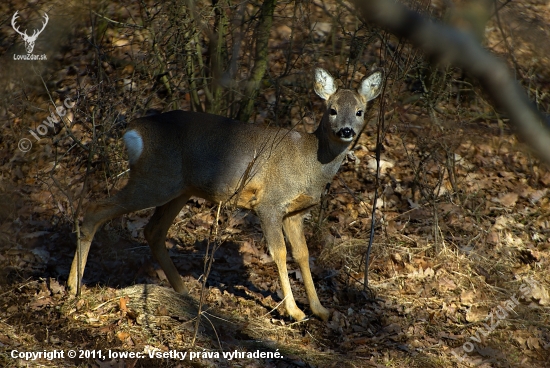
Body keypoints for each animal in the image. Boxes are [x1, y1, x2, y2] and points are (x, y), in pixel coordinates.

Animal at [68, 67, 384, 320]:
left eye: (360, 111)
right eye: (332, 109)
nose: (346, 130)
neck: (310, 162)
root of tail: (133, 131)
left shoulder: (295, 213)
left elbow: (304, 255)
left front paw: (320, 310)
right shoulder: (269, 203)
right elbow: (280, 252)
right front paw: (294, 312)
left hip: (179, 189)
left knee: (153, 231)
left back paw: (185, 294)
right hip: (154, 180)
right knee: (95, 210)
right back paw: (74, 287)